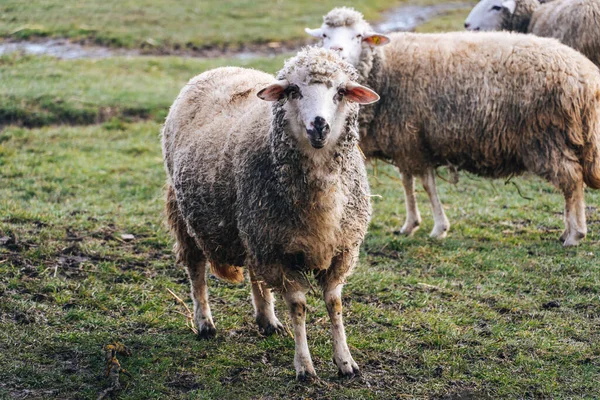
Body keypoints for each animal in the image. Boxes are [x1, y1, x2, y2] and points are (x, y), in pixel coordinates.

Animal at [159, 45, 380, 380]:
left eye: (341, 92)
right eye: (293, 91)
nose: (319, 125)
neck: (321, 200)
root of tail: (222, 68)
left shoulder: (340, 249)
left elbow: (335, 304)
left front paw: (345, 361)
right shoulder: (278, 252)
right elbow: (299, 307)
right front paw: (304, 366)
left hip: (252, 228)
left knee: (253, 271)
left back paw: (266, 319)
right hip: (189, 213)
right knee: (196, 270)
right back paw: (205, 323)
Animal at [308, 7, 600, 245]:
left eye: (358, 36)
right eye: (324, 35)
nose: (336, 50)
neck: (384, 68)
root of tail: (586, 77)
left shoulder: (414, 139)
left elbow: (426, 184)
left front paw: (438, 228)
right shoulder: (406, 139)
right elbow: (407, 182)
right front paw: (410, 225)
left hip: (544, 136)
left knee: (572, 180)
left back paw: (575, 234)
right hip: (556, 137)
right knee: (571, 181)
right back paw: (567, 231)